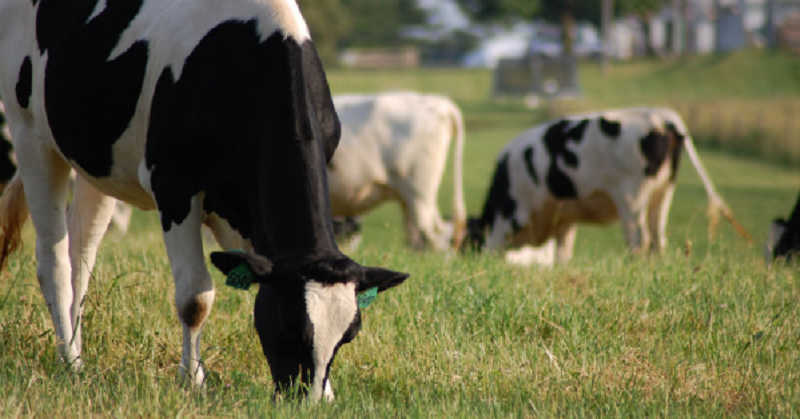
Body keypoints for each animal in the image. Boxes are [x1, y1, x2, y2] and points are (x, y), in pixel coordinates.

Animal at [0, 0, 408, 401]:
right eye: (289, 324)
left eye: (348, 336)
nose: (307, 402)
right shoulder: (174, 185)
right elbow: (195, 297)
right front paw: (193, 381)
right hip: (31, 135)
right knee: (54, 261)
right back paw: (69, 361)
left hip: (96, 163)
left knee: (81, 257)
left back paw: (77, 354)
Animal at [465, 107, 752, 263]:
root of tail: (661, 116)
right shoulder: (566, 221)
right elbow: (563, 254)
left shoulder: (509, 216)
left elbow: (494, 248)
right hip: (663, 192)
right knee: (658, 239)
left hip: (632, 197)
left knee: (639, 240)